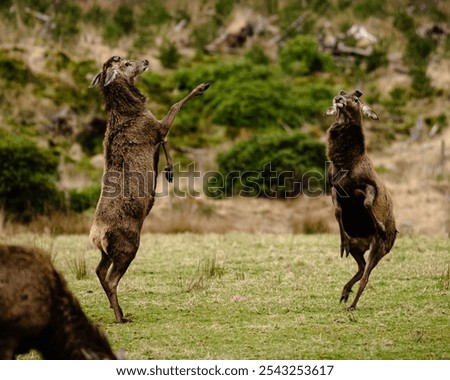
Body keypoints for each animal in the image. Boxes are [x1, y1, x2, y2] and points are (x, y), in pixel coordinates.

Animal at [89, 56, 211, 322]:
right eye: (126, 63)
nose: (145, 60)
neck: (132, 110)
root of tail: (96, 235)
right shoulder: (155, 127)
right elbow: (175, 106)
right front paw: (202, 86)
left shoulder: (157, 135)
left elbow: (166, 143)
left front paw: (170, 170)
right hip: (128, 246)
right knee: (111, 278)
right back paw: (120, 316)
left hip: (107, 252)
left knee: (99, 270)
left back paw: (117, 309)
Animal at [324, 90, 398, 310]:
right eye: (340, 93)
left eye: (356, 99)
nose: (338, 98)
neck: (345, 163)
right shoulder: (334, 188)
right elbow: (337, 212)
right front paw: (341, 243)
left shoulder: (368, 184)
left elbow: (366, 203)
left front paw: (380, 227)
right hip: (358, 248)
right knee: (362, 266)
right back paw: (344, 292)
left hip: (379, 249)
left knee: (366, 275)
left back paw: (352, 304)